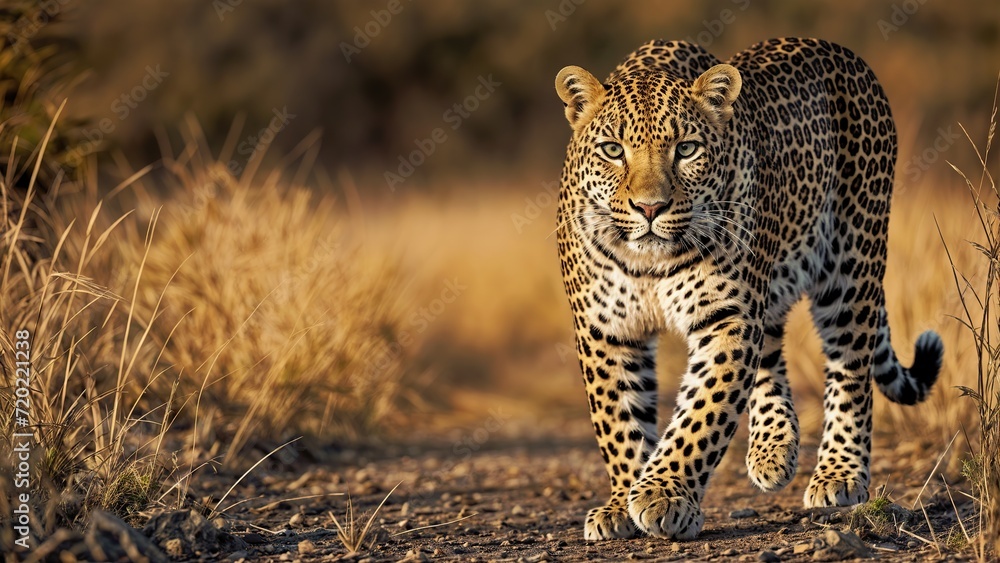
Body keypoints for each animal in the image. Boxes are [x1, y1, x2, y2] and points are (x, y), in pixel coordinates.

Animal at [553, 37, 943, 541]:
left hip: (852, 264)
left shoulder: (727, 319)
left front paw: (664, 495)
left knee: (851, 369)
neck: (650, 264)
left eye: (686, 149)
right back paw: (773, 450)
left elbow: (700, 415)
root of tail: (839, 51)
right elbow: (619, 422)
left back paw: (839, 472)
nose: (650, 208)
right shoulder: (607, 329)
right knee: (772, 349)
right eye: (612, 149)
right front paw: (622, 501)